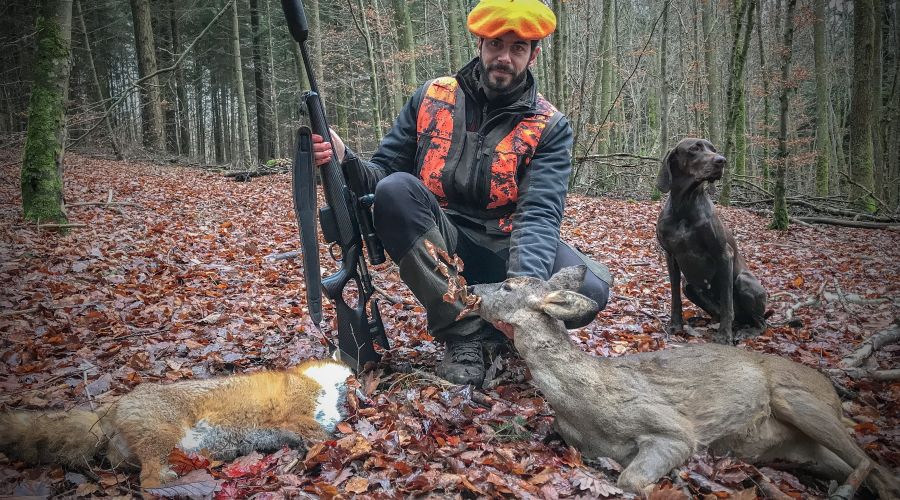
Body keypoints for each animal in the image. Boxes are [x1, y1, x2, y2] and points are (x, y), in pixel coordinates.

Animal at [0, 358, 352, 490]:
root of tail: (111, 407)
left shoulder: (284, 429)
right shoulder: (294, 414)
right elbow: (321, 432)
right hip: (162, 438)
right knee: (149, 482)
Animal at [464, 266, 900, 496]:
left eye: (507, 284)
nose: (469, 285)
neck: (585, 403)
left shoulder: (675, 430)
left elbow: (632, 478)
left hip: (800, 399)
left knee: (873, 464)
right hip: (801, 450)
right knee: (875, 470)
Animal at [652, 139, 768, 346]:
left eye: (713, 149)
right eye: (694, 148)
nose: (722, 160)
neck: (685, 205)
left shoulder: (724, 255)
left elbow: (727, 303)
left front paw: (724, 336)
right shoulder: (671, 256)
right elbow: (675, 297)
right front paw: (676, 325)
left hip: (744, 280)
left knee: (761, 323)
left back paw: (744, 331)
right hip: (690, 286)